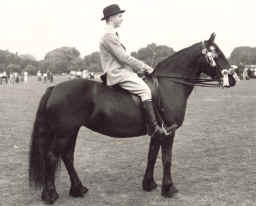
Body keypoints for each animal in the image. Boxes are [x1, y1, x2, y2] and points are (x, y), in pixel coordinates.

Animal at [28, 33, 236, 204]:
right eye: (216, 54)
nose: (233, 79)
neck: (168, 85)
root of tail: (54, 88)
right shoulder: (169, 133)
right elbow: (166, 159)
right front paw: (169, 189)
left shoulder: (158, 132)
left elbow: (152, 156)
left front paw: (149, 184)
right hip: (65, 132)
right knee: (52, 157)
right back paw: (50, 195)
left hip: (71, 131)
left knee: (67, 156)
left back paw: (78, 189)